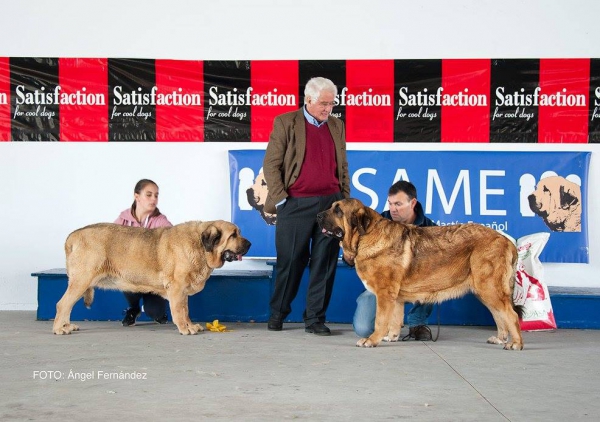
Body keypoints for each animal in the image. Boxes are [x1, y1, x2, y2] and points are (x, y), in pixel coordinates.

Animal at [55, 221, 252, 336]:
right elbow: (179, 311)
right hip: (81, 281)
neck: (200, 246)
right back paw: (59, 329)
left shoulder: (183, 292)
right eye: (233, 235)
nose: (250, 244)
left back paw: (67, 326)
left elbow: (186, 311)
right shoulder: (177, 288)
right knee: (62, 305)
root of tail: (72, 236)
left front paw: (191, 325)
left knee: (67, 306)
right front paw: (184, 328)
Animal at [316, 199, 524, 352]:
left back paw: (515, 343)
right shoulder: (395, 298)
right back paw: (500, 338)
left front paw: (372, 340)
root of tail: (506, 241)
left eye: (338, 210)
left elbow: (380, 320)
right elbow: (394, 320)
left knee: (511, 315)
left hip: (489, 287)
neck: (365, 235)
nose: (317, 215)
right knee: (499, 314)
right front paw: (391, 337)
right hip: (485, 290)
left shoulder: (385, 294)